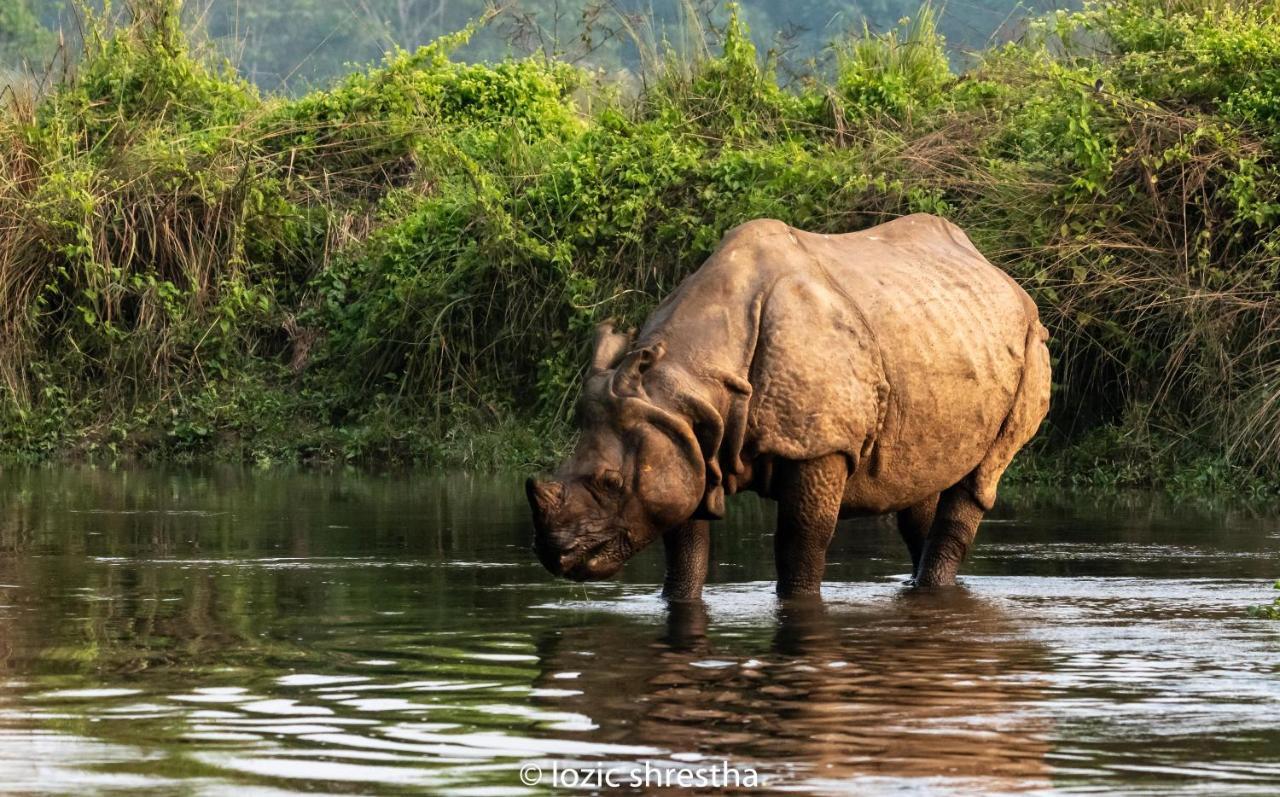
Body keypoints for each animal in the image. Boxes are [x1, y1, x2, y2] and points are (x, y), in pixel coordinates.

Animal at [524, 213, 1044, 598]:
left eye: (610, 483)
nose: (553, 556)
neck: (685, 378)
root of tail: (1001, 274)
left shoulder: (821, 446)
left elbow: (800, 540)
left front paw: (796, 599)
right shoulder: (684, 437)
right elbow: (686, 550)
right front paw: (677, 597)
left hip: (1030, 340)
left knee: (980, 480)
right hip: (945, 334)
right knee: (918, 479)